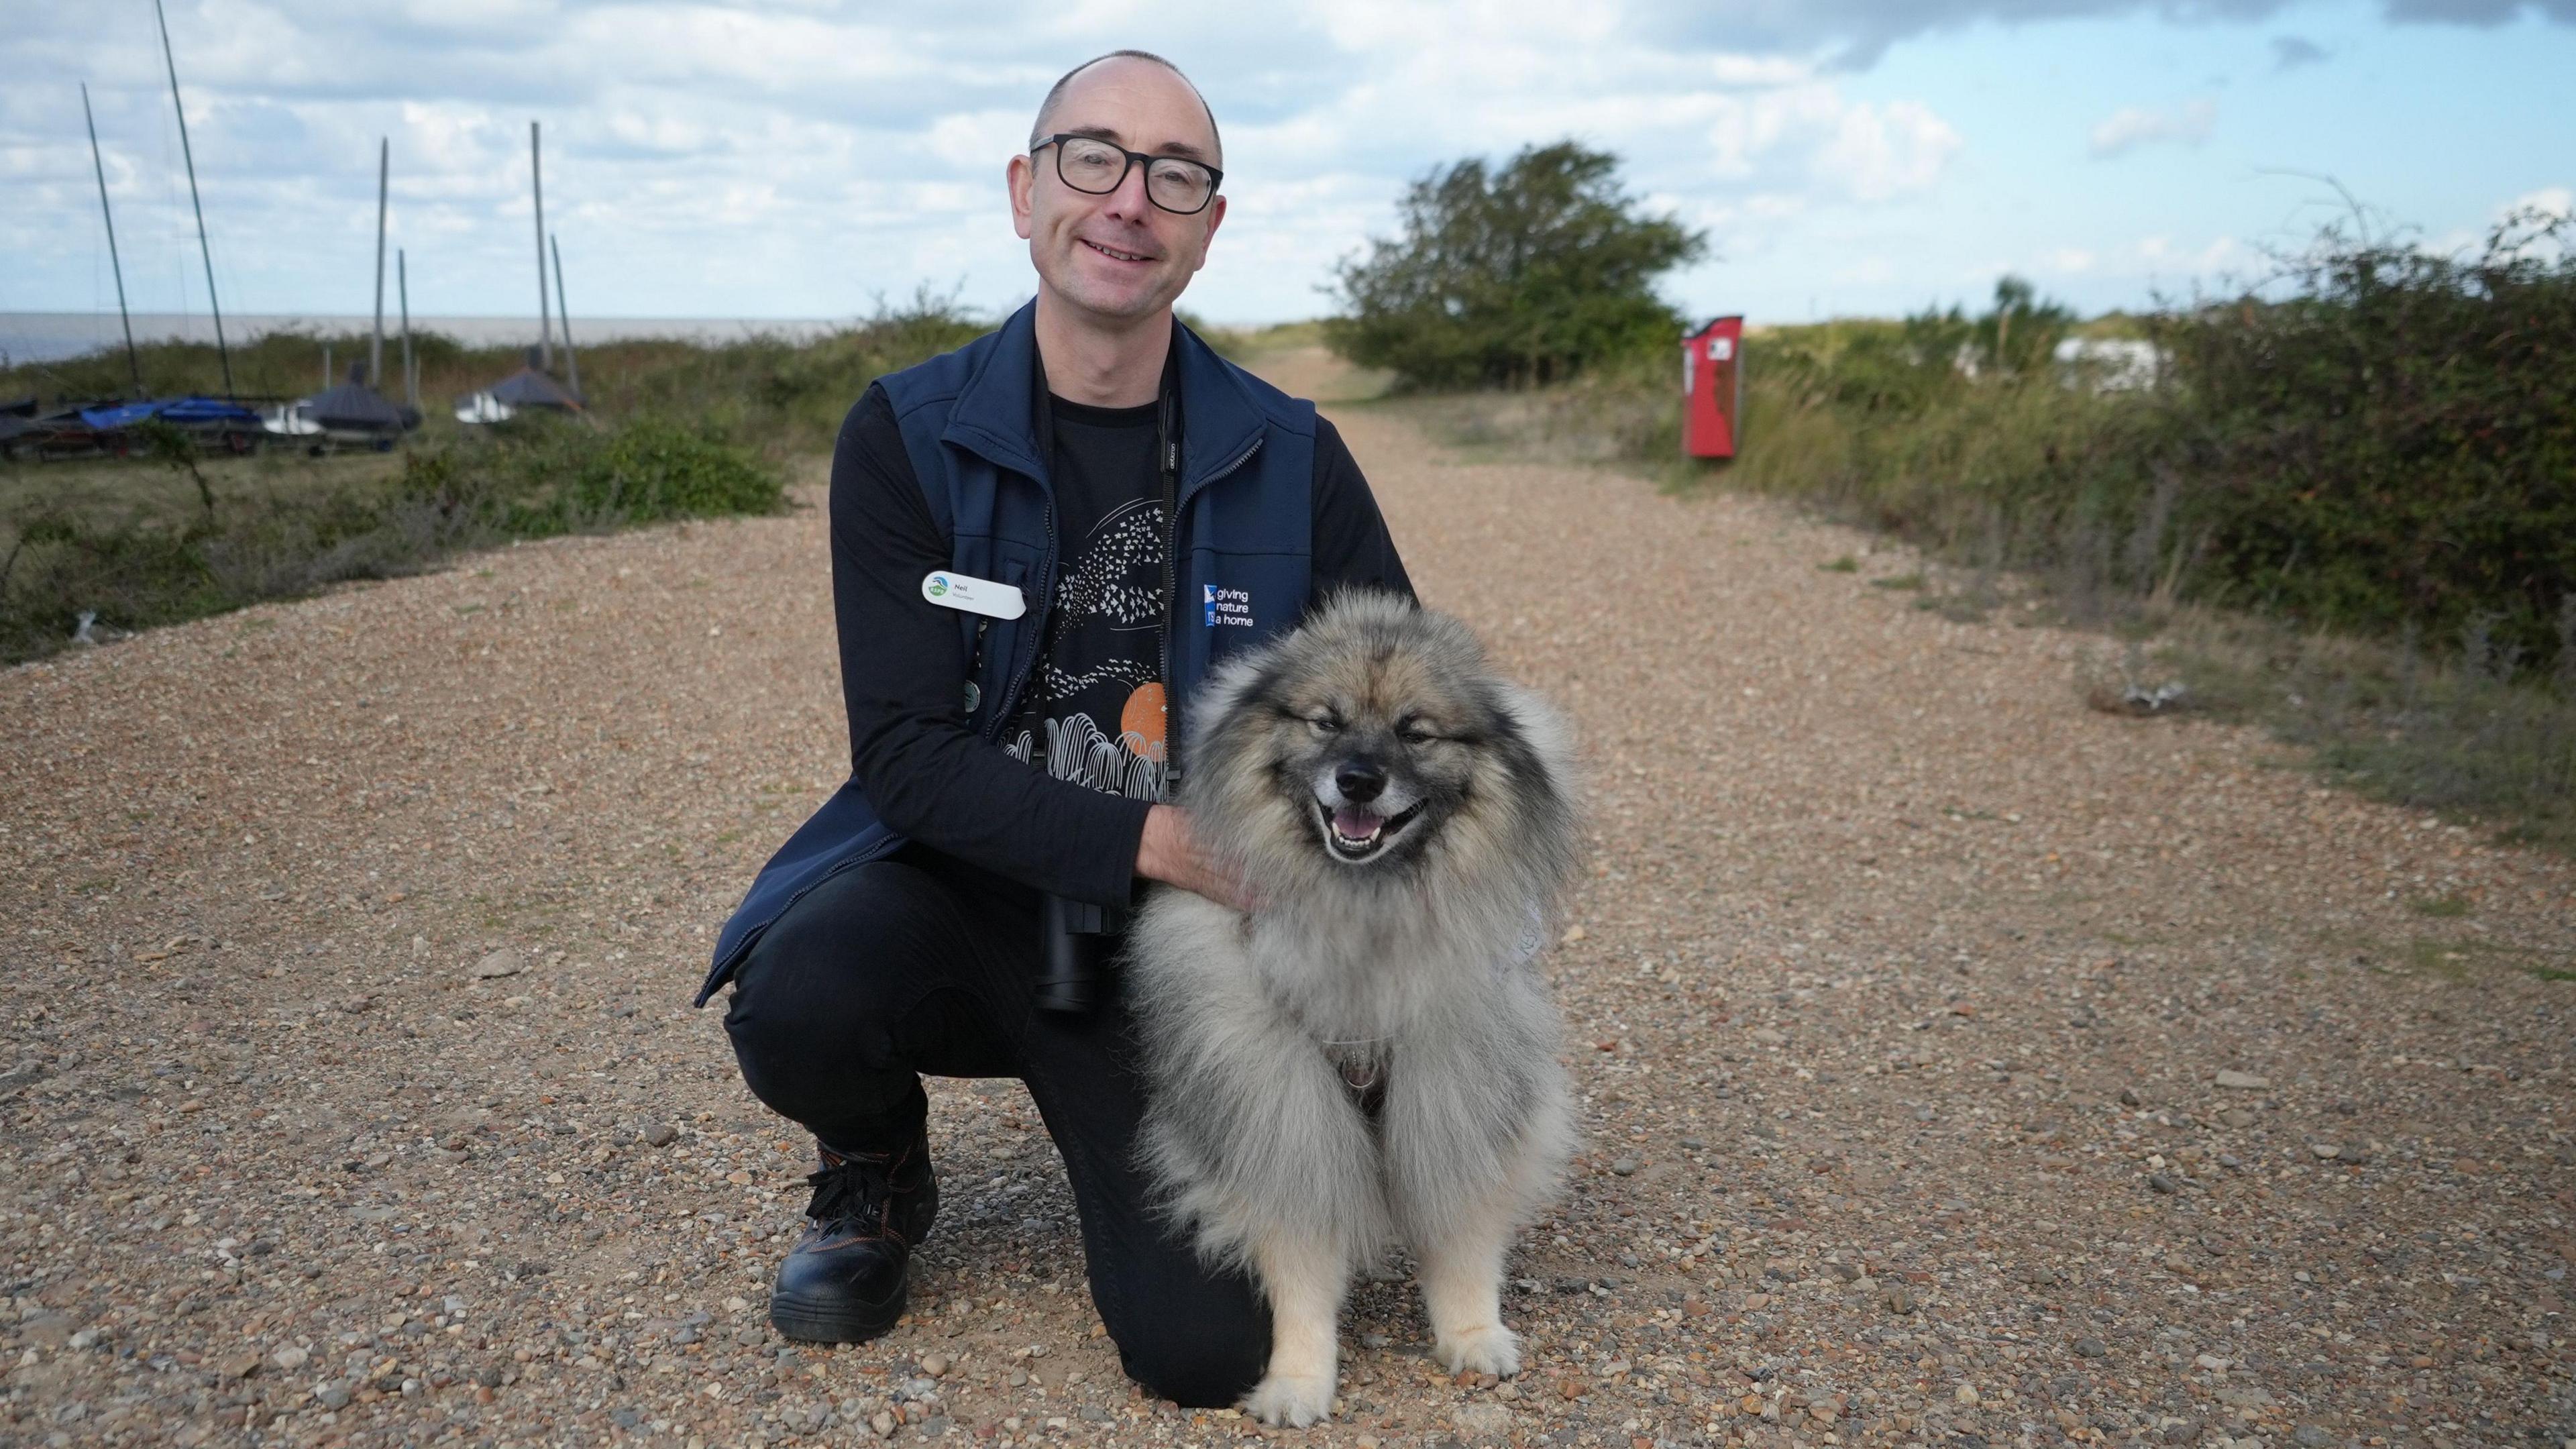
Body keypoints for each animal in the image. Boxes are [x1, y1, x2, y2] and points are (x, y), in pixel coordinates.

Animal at [1133, 588, 1576, 1423]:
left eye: (1415, 731)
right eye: (1326, 722)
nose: (1360, 781)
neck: (1365, 912)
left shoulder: (1457, 1077)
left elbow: (1463, 1225)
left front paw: (1473, 1334)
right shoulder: (1278, 1101)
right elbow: (1300, 1256)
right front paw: (1298, 1380)